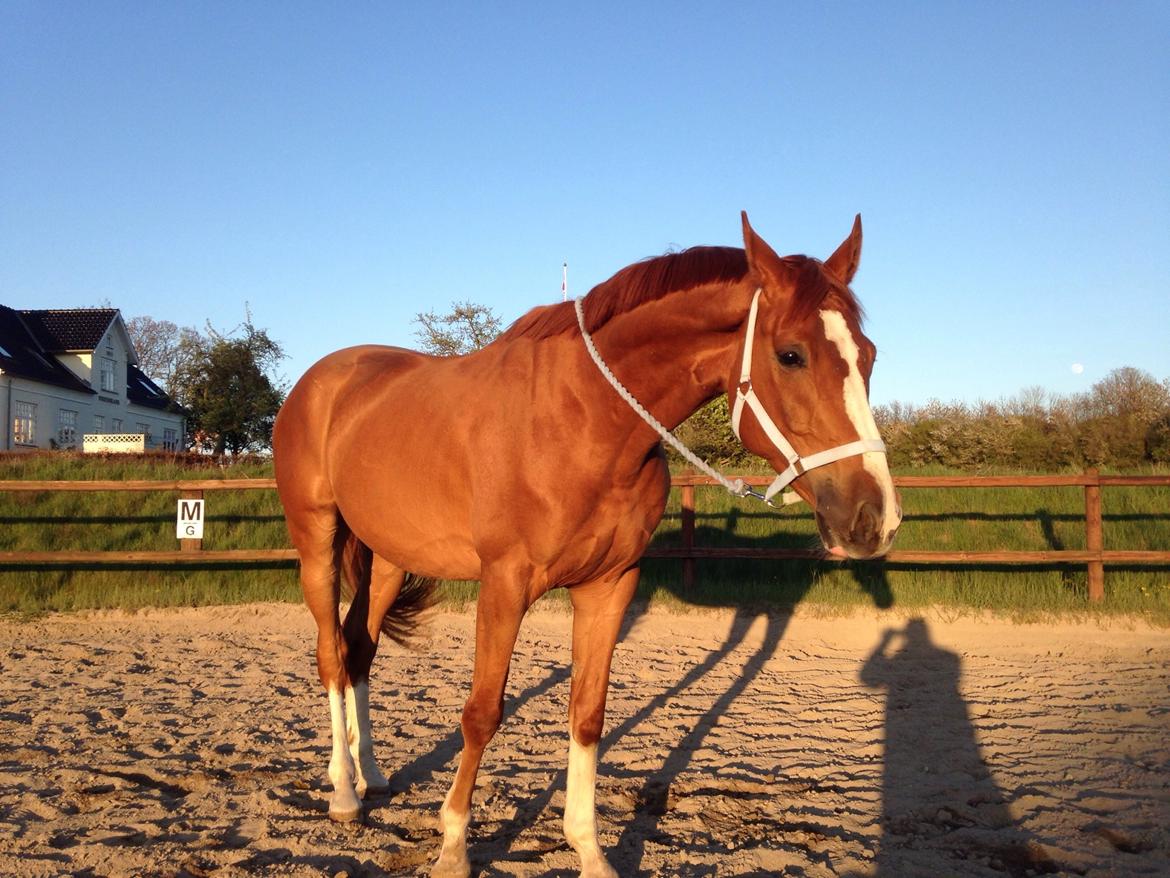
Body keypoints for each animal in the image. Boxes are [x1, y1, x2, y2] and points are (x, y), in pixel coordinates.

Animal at [276, 215, 903, 878]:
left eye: (868, 355)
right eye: (790, 355)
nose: (875, 518)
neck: (583, 418)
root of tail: (322, 381)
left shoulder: (609, 586)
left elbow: (587, 714)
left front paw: (589, 849)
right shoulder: (505, 584)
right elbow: (482, 713)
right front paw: (452, 847)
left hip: (391, 559)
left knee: (360, 650)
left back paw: (371, 774)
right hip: (317, 543)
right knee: (330, 655)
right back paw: (343, 792)